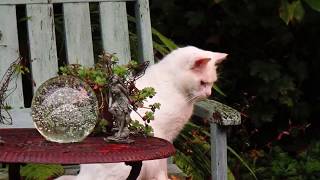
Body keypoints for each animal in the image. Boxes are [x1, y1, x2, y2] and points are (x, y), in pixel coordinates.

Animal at [57, 45, 228, 179]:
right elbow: (162, 169)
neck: (175, 86)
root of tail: (84, 175)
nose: (209, 94)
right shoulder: (164, 138)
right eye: (203, 83)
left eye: (212, 83)